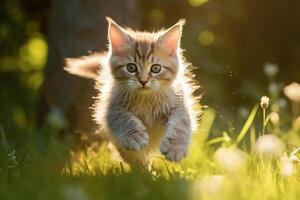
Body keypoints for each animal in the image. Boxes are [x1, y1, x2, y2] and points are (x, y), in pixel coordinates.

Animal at [67, 16, 200, 164]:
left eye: (156, 68)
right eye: (131, 68)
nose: (143, 81)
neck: (146, 100)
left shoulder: (180, 105)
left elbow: (180, 124)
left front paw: (175, 148)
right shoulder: (112, 108)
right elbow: (123, 119)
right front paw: (134, 137)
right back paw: (142, 168)